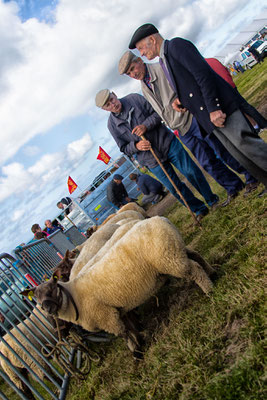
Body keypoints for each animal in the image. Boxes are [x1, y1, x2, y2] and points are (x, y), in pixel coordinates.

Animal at [22, 217, 217, 354]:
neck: (74, 296)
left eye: (53, 288)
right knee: (195, 255)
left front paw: (136, 351)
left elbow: (124, 335)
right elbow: (129, 327)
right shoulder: (116, 309)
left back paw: (209, 290)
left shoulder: (107, 317)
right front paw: (140, 338)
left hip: (170, 260)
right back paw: (213, 273)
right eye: (36, 298)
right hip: (176, 252)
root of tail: (160, 219)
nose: (47, 308)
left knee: (194, 270)